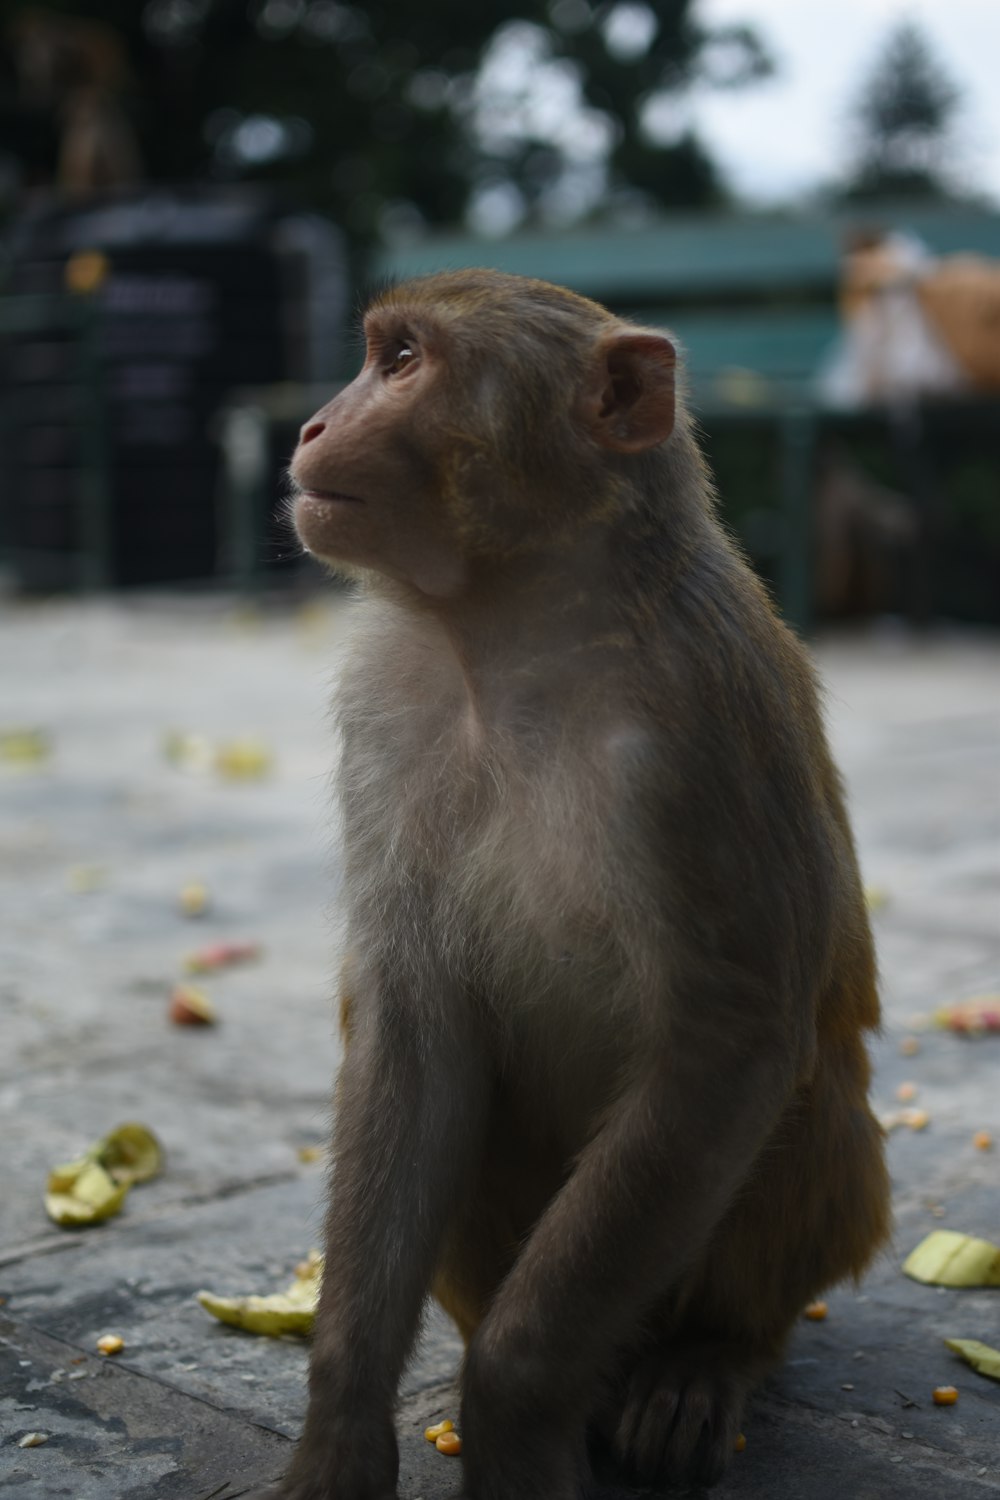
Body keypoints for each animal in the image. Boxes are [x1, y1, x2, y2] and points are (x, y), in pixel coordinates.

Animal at [260, 270, 893, 1500]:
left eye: (401, 361)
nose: (311, 426)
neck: (511, 637)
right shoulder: (385, 708)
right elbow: (413, 1025)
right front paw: (340, 1432)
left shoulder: (702, 722)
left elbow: (730, 1041)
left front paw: (515, 1407)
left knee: (815, 1108)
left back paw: (704, 1358)